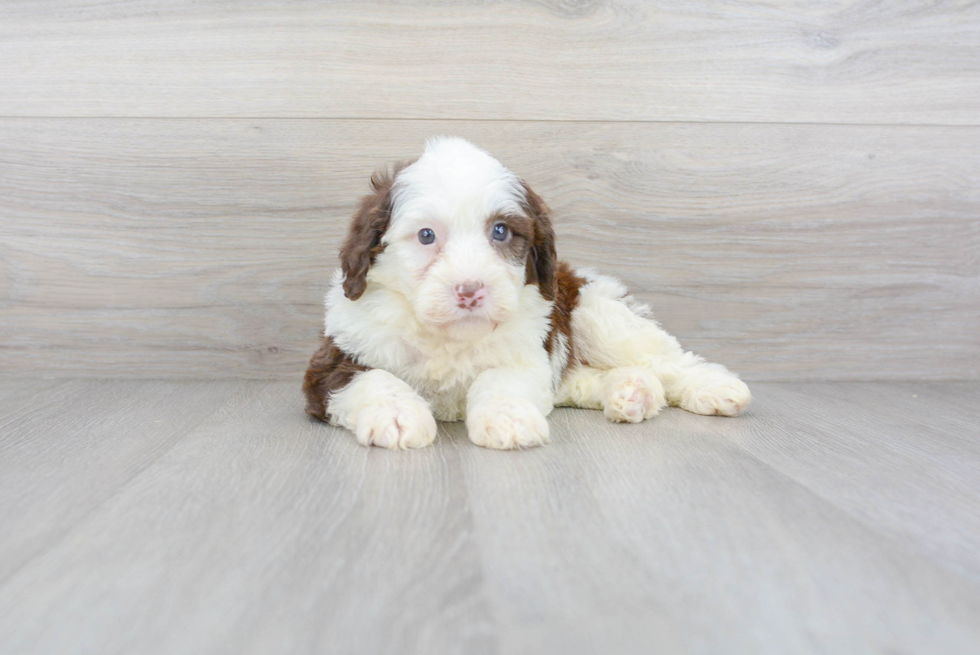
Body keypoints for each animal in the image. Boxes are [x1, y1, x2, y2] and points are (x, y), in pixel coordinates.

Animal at [304, 136, 752, 448]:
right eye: (426, 235)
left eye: (501, 231)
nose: (471, 290)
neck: (448, 338)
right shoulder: (334, 360)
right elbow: (374, 378)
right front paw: (397, 417)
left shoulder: (524, 353)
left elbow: (500, 379)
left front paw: (507, 420)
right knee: (578, 382)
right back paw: (632, 392)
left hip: (594, 313)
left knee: (666, 359)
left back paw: (712, 388)